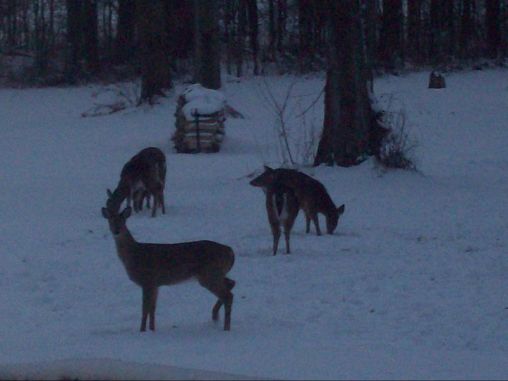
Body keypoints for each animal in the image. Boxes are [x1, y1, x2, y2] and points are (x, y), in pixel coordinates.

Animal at [101, 203, 236, 332]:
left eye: (123, 221)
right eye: (110, 221)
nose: (117, 230)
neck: (134, 254)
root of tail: (230, 251)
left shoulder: (147, 280)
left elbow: (145, 308)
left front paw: (142, 331)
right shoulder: (155, 284)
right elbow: (152, 308)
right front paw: (152, 329)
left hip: (210, 274)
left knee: (228, 295)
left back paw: (226, 327)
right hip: (216, 273)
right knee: (231, 284)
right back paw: (216, 317)